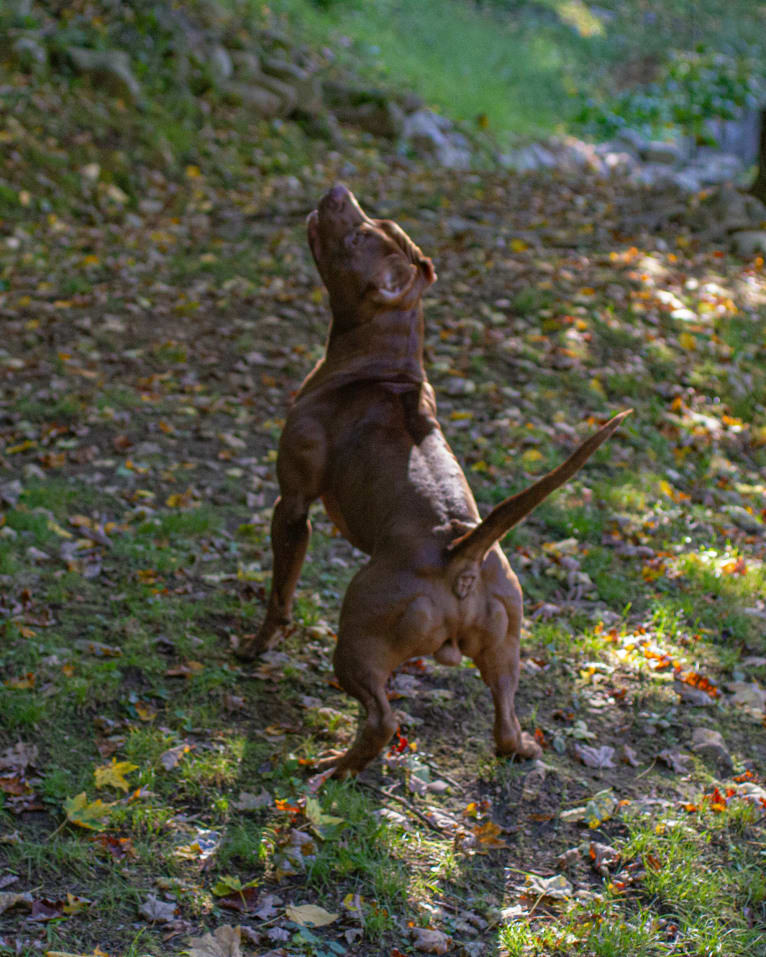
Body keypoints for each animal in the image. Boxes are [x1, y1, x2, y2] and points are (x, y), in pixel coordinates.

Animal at [238, 185, 632, 776]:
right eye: (374, 220)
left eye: (357, 237)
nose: (337, 191)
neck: (384, 359)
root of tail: (460, 552)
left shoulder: (293, 505)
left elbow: (279, 595)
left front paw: (256, 646)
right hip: (506, 647)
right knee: (505, 720)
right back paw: (521, 748)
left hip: (357, 640)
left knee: (382, 720)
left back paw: (335, 767)